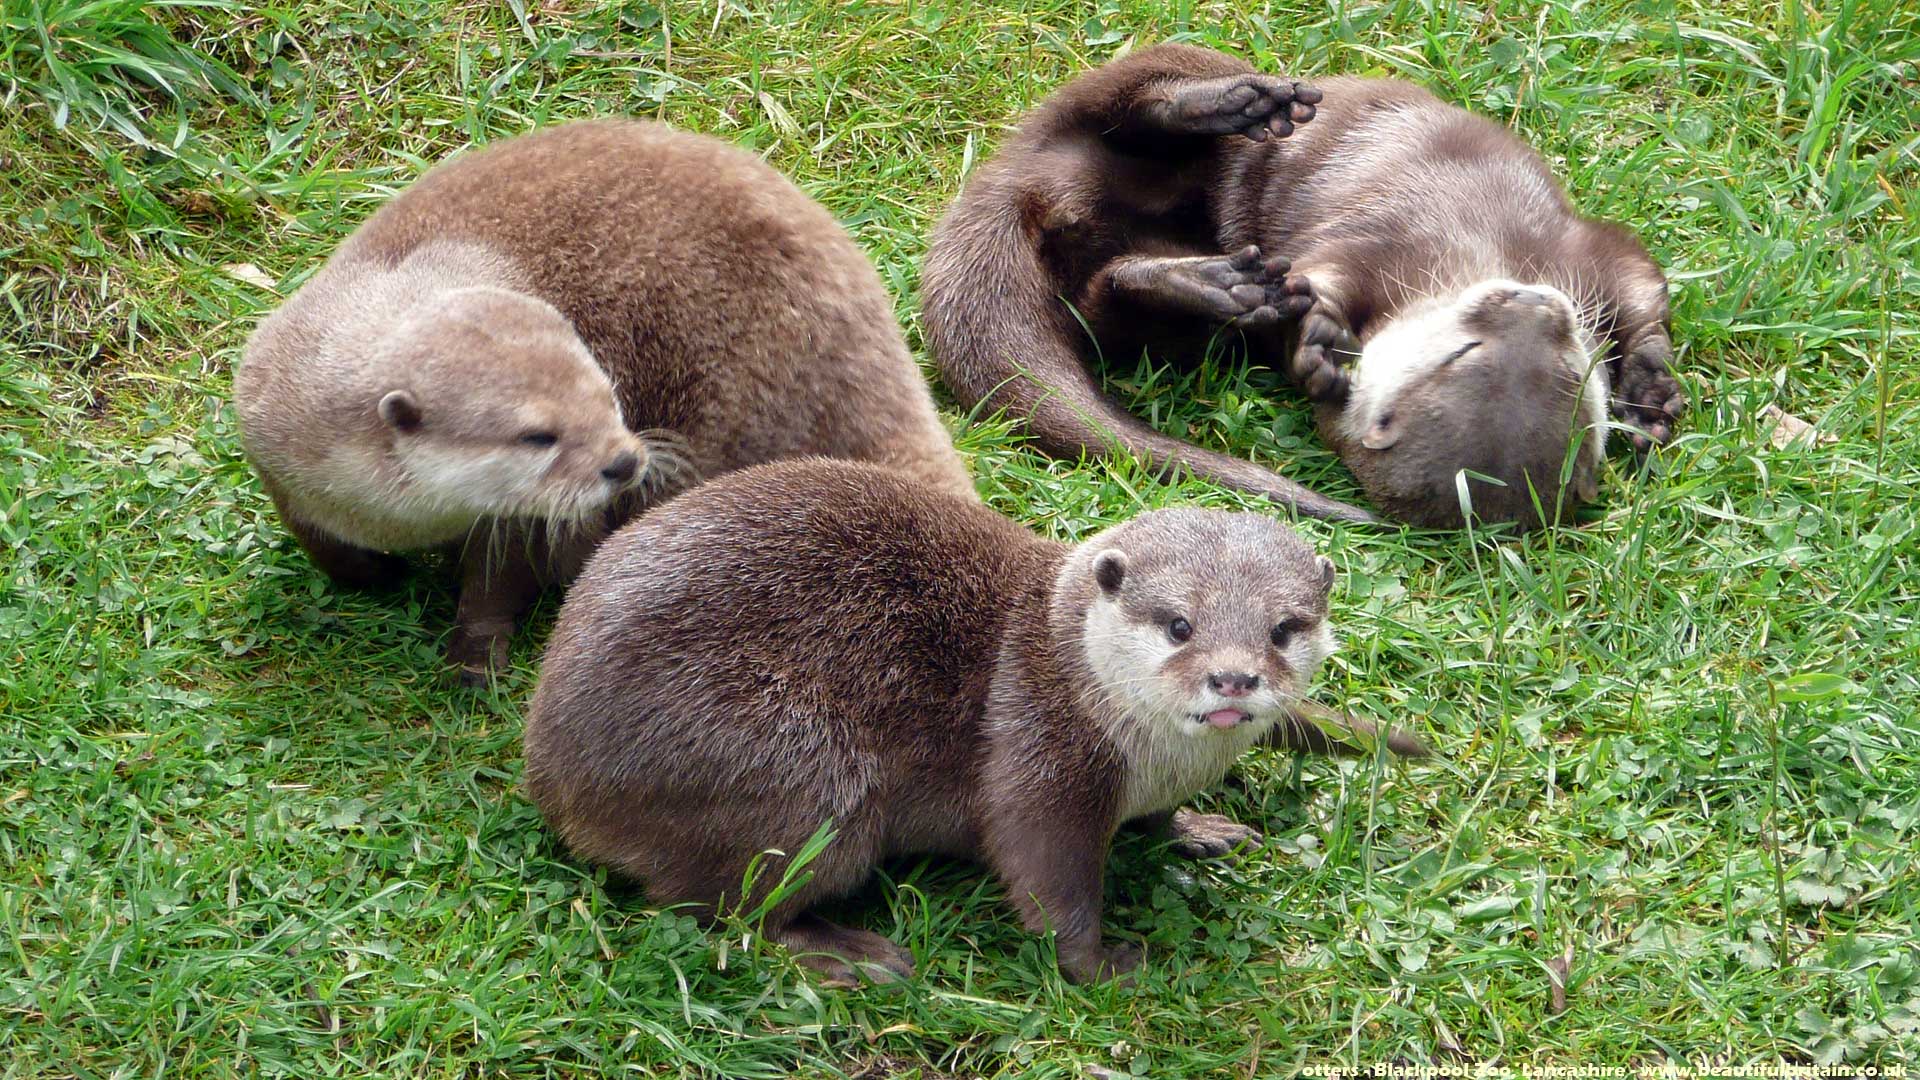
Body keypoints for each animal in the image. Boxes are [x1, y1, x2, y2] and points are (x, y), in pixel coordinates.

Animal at [237, 119, 973, 683]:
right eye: (538, 435)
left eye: (609, 395)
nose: (623, 462)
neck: (400, 515)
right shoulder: (269, 439)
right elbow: (319, 544)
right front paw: (366, 577)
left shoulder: (517, 521)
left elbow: (498, 580)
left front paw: (475, 655)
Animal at [523, 458, 1426, 985]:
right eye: (1179, 624)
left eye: (1284, 628)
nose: (1232, 677)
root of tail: (551, 770)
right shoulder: (1041, 757)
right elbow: (1048, 879)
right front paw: (1107, 966)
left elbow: (1158, 819)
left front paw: (1197, 828)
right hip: (794, 771)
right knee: (719, 905)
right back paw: (855, 954)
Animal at [921, 43, 1684, 529]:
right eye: (1461, 352)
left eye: (1570, 373)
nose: (1536, 304)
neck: (1476, 253)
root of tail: (1023, 178)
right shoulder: (1404, 240)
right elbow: (1644, 287)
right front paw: (1653, 389)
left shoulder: (1567, 254)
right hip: (1133, 83)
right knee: (1127, 97)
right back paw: (1232, 104)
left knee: (1107, 300)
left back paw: (1210, 287)